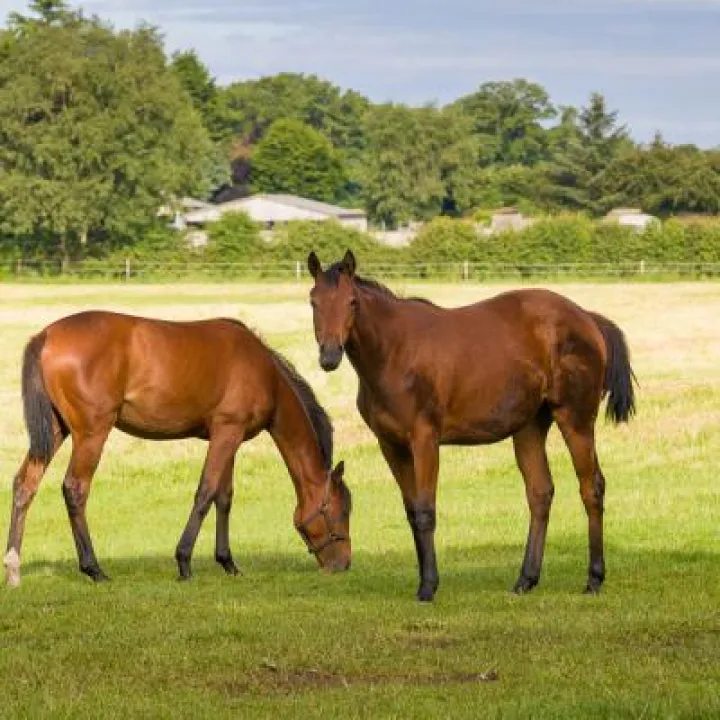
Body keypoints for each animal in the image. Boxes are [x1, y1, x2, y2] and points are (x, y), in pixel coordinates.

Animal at [4, 311, 352, 587]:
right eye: (341, 510)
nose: (344, 565)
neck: (264, 372)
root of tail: (45, 335)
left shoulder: (228, 436)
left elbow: (224, 498)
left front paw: (228, 562)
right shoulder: (227, 433)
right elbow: (205, 493)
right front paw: (184, 562)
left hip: (54, 431)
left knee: (25, 485)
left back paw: (12, 567)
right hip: (91, 433)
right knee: (75, 488)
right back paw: (94, 569)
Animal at [307, 249, 635, 602]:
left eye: (352, 301)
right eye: (313, 301)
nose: (329, 356)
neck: (395, 352)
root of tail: (587, 319)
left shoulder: (425, 440)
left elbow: (425, 511)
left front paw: (428, 586)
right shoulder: (391, 446)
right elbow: (411, 511)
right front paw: (424, 581)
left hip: (575, 420)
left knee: (592, 488)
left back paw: (594, 578)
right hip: (530, 428)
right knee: (540, 493)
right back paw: (526, 579)